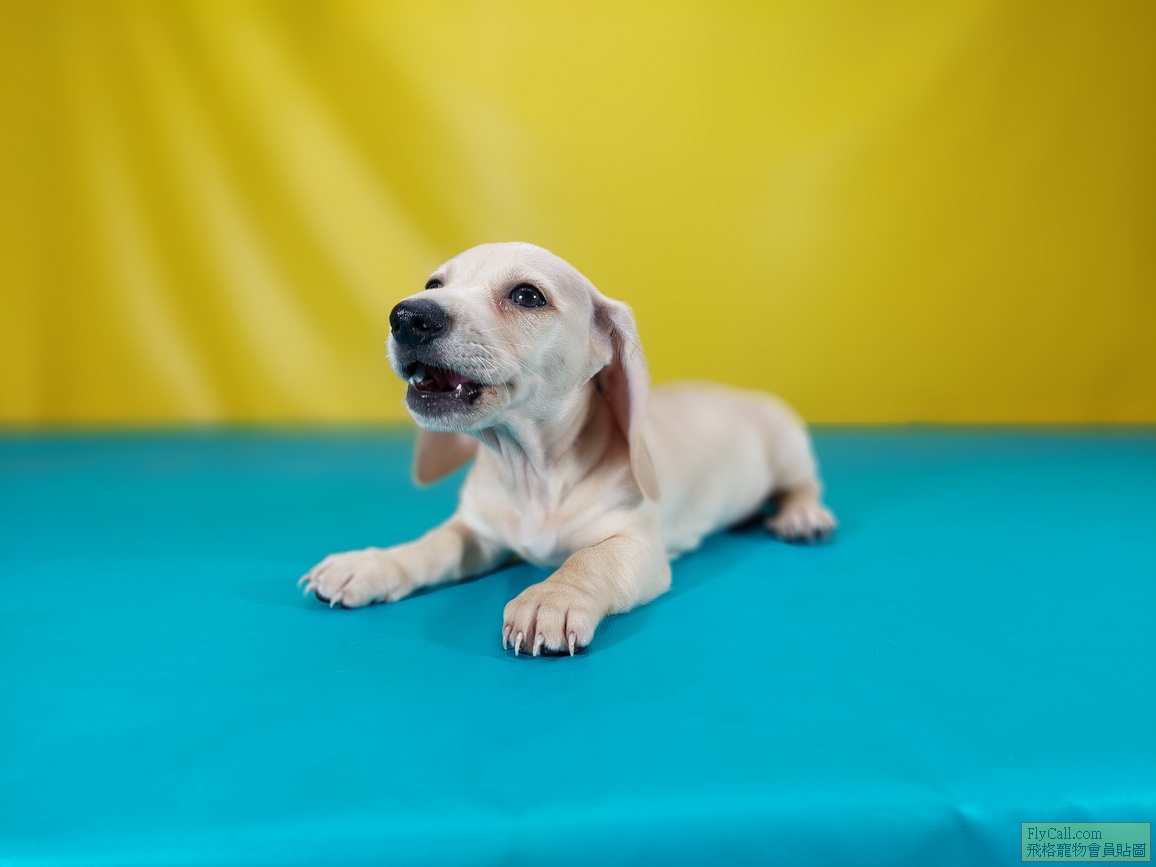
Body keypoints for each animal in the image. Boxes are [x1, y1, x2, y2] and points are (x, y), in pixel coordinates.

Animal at [300, 242, 835, 656]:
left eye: (526, 295)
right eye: (433, 284)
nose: (408, 316)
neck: (531, 472)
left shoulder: (637, 545)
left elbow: (588, 560)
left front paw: (552, 597)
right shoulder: (478, 532)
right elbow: (435, 545)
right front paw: (374, 563)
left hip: (788, 449)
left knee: (805, 485)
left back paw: (803, 515)